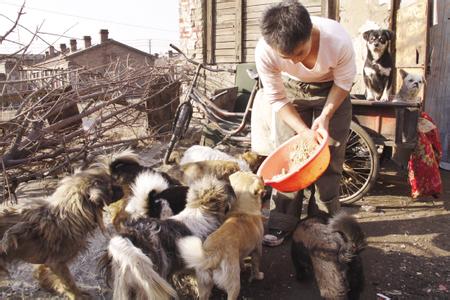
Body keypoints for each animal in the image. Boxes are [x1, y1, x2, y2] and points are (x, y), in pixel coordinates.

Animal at [0, 166, 123, 300]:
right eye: (111, 188)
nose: (123, 187)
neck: (69, 214)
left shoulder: (47, 261)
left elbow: (42, 274)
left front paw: (49, 288)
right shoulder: (57, 263)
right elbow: (68, 283)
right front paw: (77, 295)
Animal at [178, 171, 266, 300]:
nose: (262, 176)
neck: (242, 210)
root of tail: (213, 254)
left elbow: (242, 261)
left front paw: (244, 267)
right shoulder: (257, 249)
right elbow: (255, 266)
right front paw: (258, 275)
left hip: (204, 284)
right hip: (234, 284)